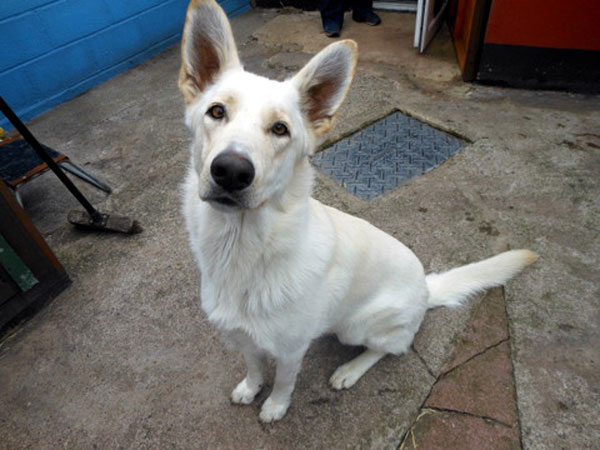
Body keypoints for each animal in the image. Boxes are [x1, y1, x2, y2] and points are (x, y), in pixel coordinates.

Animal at [177, 0, 536, 422]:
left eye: (280, 129)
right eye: (216, 112)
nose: (231, 171)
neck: (243, 249)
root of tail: (426, 288)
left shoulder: (290, 350)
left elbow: (283, 382)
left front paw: (275, 408)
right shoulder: (244, 336)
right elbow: (253, 365)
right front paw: (250, 389)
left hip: (358, 325)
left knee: (390, 347)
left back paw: (350, 370)